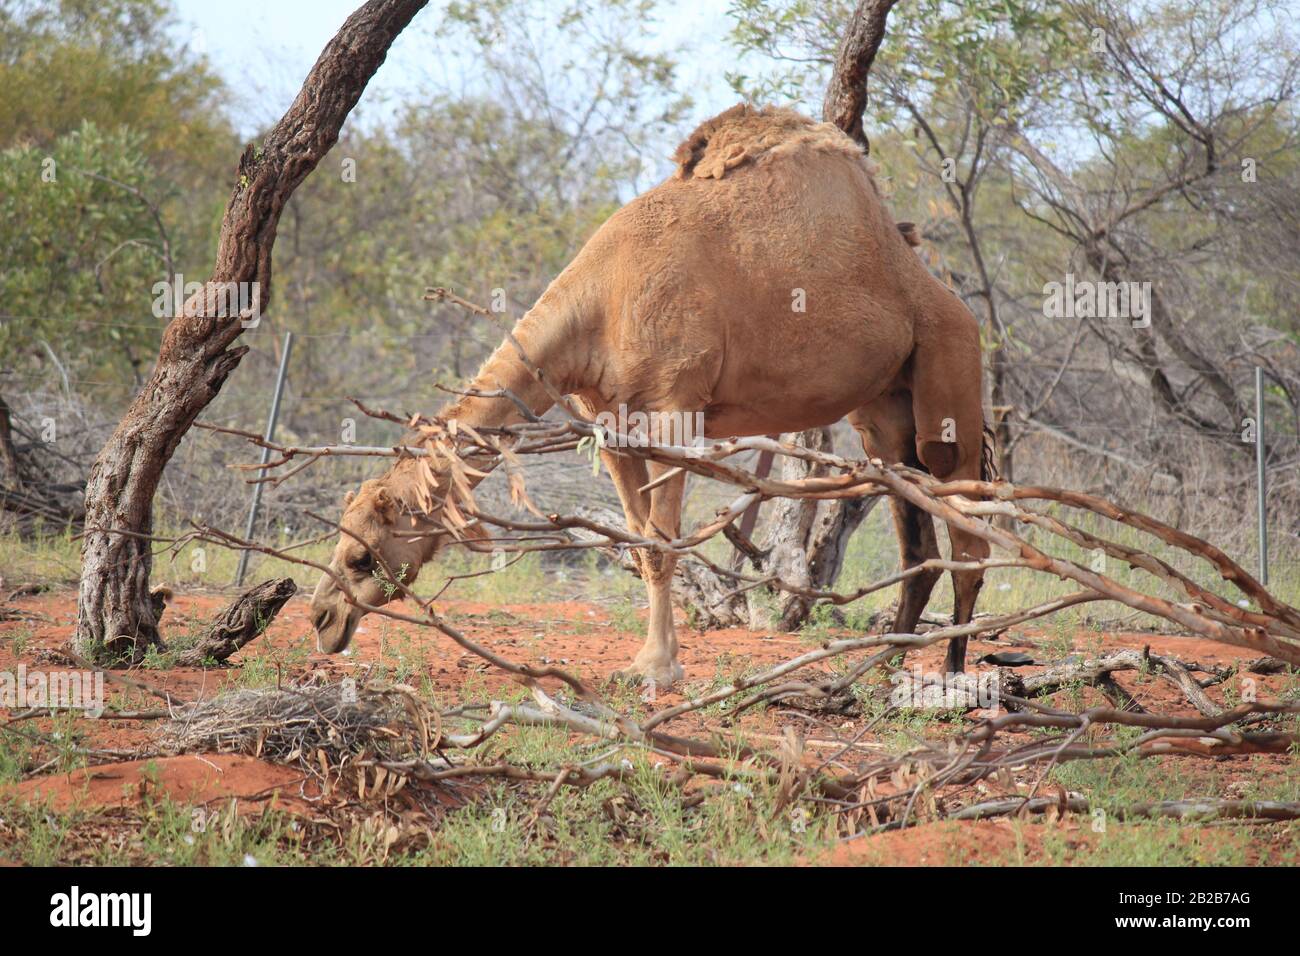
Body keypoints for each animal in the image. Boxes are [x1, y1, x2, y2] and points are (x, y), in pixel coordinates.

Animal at [310, 104, 993, 686]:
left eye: (361, 557)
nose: (323, 621)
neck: (602, 301)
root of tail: (951, 303)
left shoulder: (674, 414)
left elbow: (664, 547)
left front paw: (659, 671)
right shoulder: (611, 429)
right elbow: (640, 547)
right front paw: (645, 662)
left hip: (949, 376)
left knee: (969, 537)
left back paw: (951, 673)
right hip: (882, 416)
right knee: (919, 541)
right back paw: (881, 666)